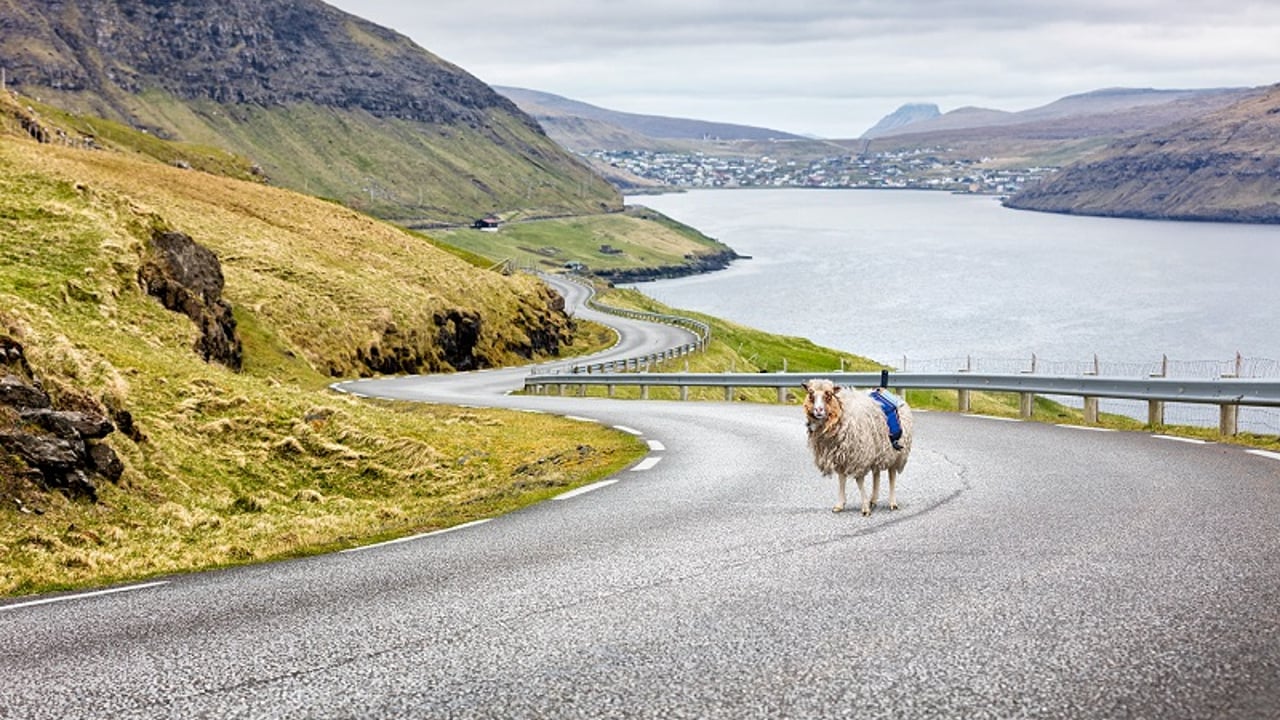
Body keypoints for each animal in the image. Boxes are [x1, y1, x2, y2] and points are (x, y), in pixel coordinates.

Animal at [801, 378, 914, 515]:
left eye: (829, 394)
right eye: (810, 394)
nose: (818, 410)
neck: (842, 412)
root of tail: (895, 396)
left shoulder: (859, 455)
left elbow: (859, 481)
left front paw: (865, 508)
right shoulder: (840, 455)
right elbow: (841, 479)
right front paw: (840, 505)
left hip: (895, 453)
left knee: (891, 475)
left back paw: (892, 502)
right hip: (878, 449)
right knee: (876, 474)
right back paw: (873, 500)